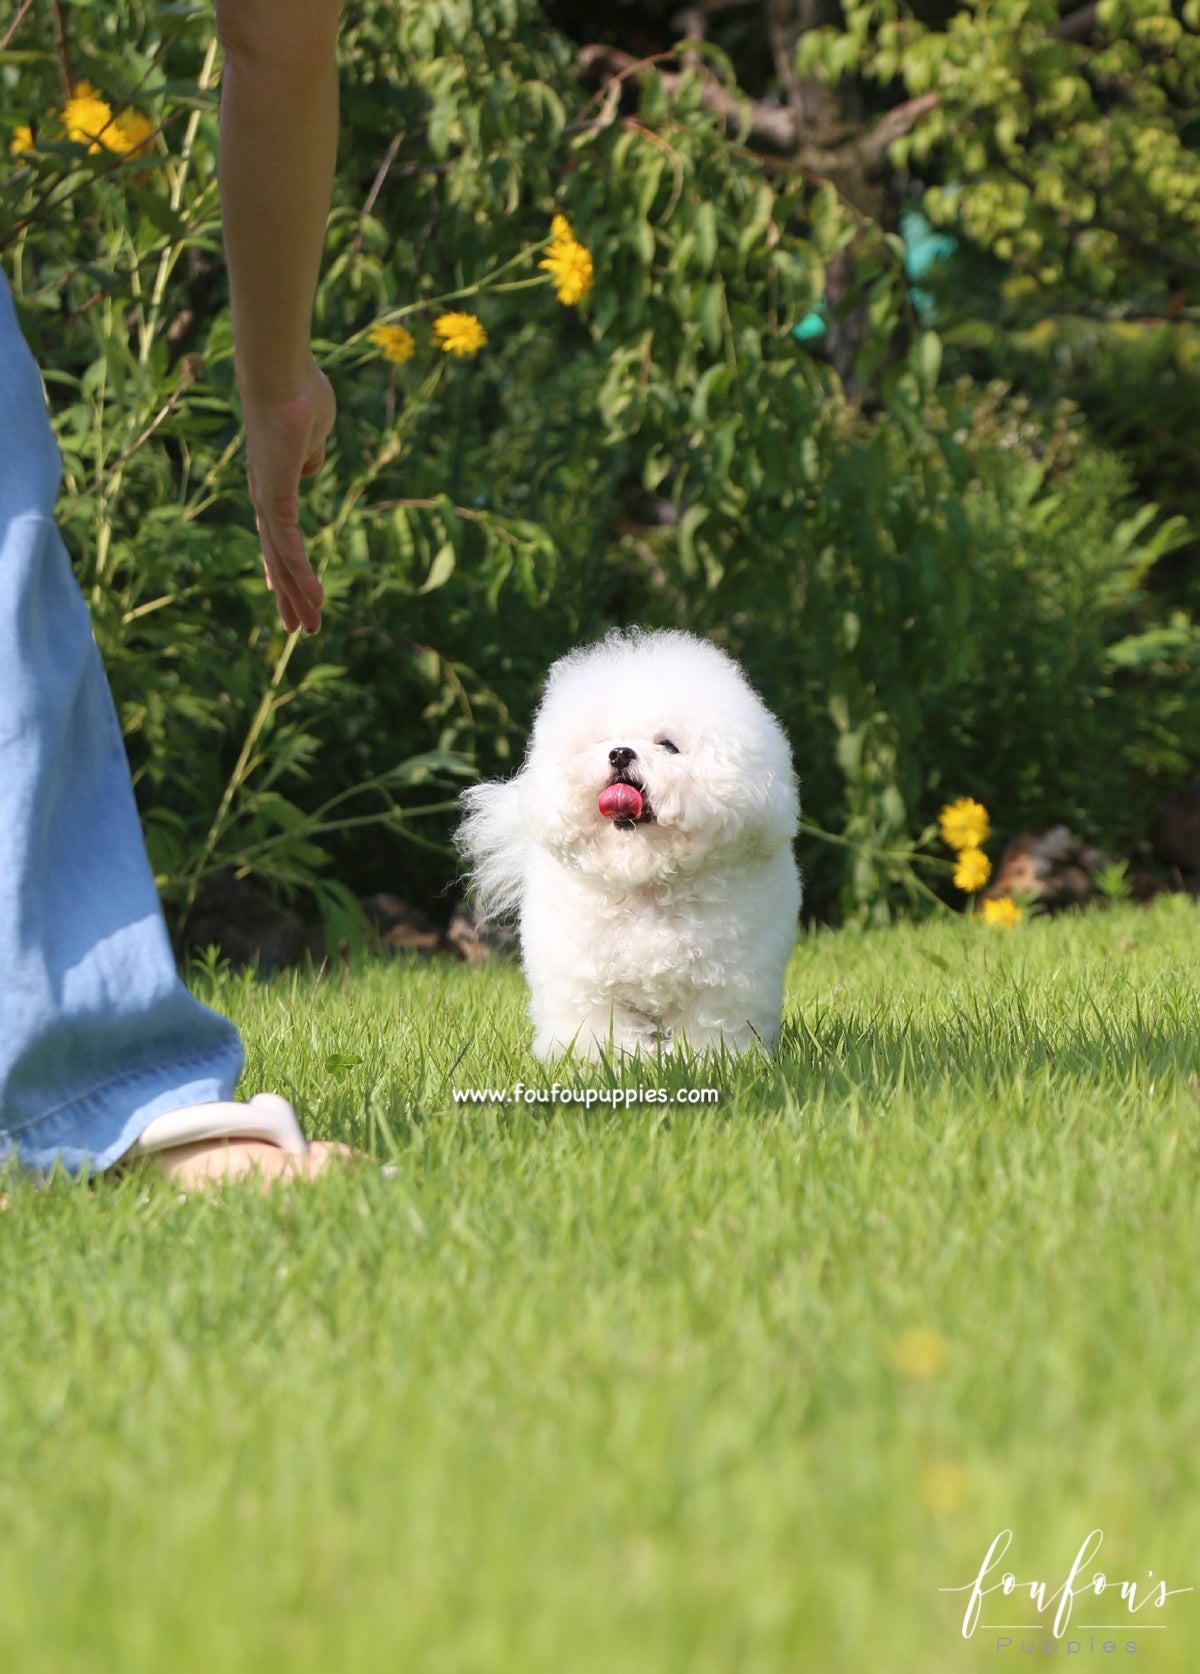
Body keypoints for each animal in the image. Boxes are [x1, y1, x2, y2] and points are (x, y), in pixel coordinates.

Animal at [458, 629, 806, 1057]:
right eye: (603, 741)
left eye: (668, 745)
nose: (621, 752)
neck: (645, 877)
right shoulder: (585, 978)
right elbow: (597, 1025)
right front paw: (603, 1060)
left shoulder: (724, 982)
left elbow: (710, 1025)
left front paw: (707, 1060)